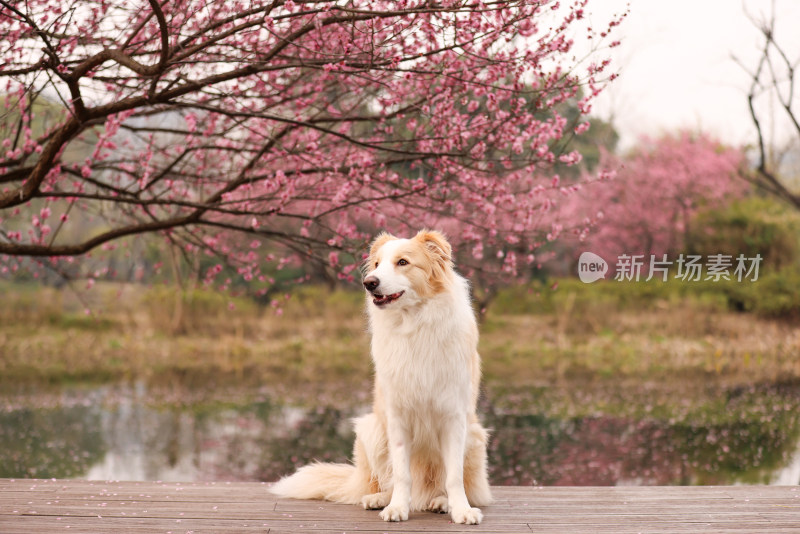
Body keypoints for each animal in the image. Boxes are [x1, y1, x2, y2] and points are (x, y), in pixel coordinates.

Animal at [272, 230, 490, 528]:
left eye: (403, 262)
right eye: (376, 265)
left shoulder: (454, 418)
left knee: (447, 484)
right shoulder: (396, 417)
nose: (369, 283)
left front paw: (462, 510)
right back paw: (380, 499)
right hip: (371, 429)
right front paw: (397, 507)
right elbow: (401, 474)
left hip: (475, 435)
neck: (414, 325)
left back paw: (441, 502)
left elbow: (454, 476)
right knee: (388, 480)